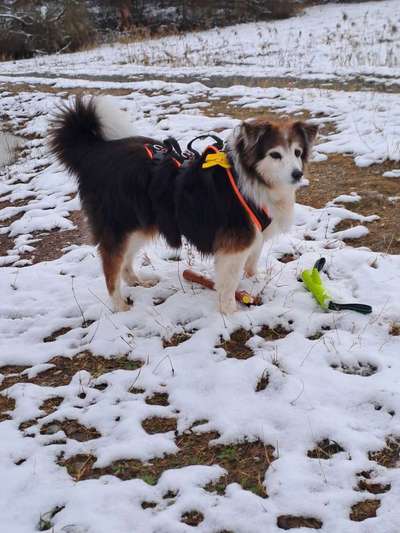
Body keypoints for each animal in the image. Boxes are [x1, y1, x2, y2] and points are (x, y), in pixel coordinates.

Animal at [50, 96, 318, 312]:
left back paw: (137, 281)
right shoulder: (234, 244)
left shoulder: (254, 236)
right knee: (110, 265)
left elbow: (252, 262)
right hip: (119, 224)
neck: (254, 178)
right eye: (275, 155)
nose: (297, 174)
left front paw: (254, 282)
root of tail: (95, 153)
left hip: (139, 224)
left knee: (125, 259)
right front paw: (230, 311)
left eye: (297, 152)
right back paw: (119, 305)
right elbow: (229, 281)